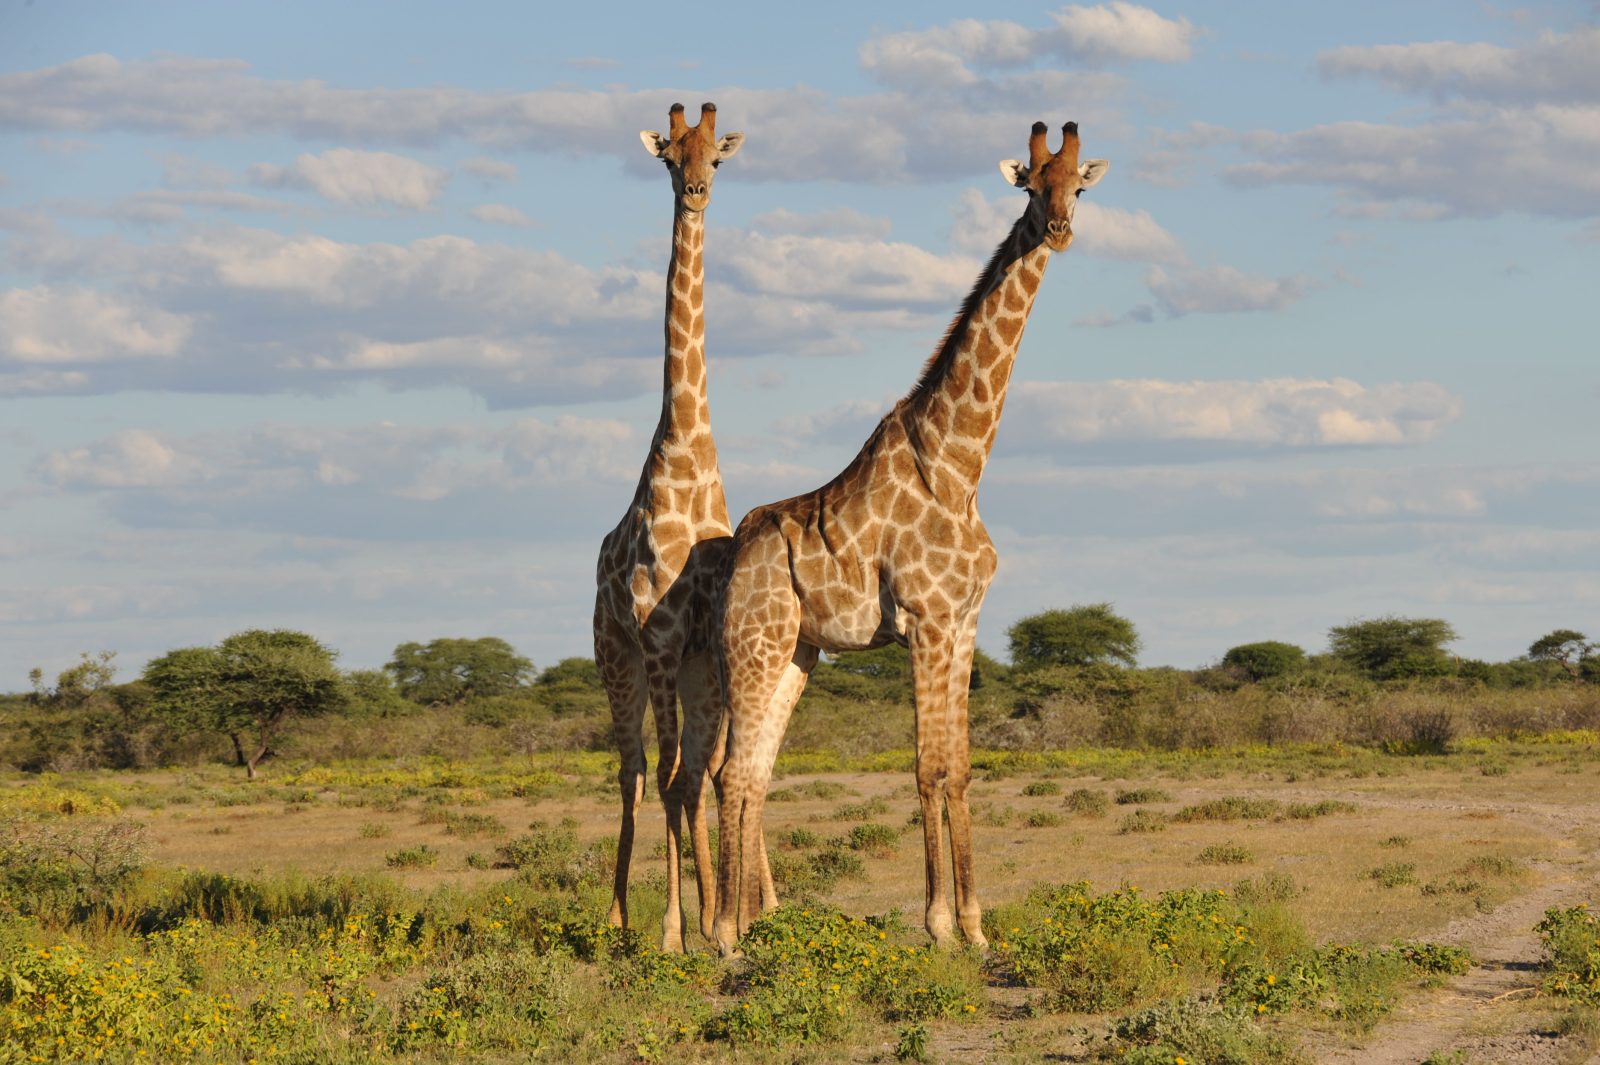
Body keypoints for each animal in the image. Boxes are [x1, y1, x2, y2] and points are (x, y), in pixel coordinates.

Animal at [711, 121, 1108, 954]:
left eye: (1078, 188)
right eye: (1032, 187)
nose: (1059, 229)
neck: (958, 462)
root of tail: (737, 552)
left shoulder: (964, 620)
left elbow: (960, 765)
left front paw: (977, 925)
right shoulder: (925, 618)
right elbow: (927, 766)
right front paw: (937, 924)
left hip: (798, 653)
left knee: (755, 772)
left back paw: (754, 927)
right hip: (754, 643)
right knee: (730, 772)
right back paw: (724, 934)